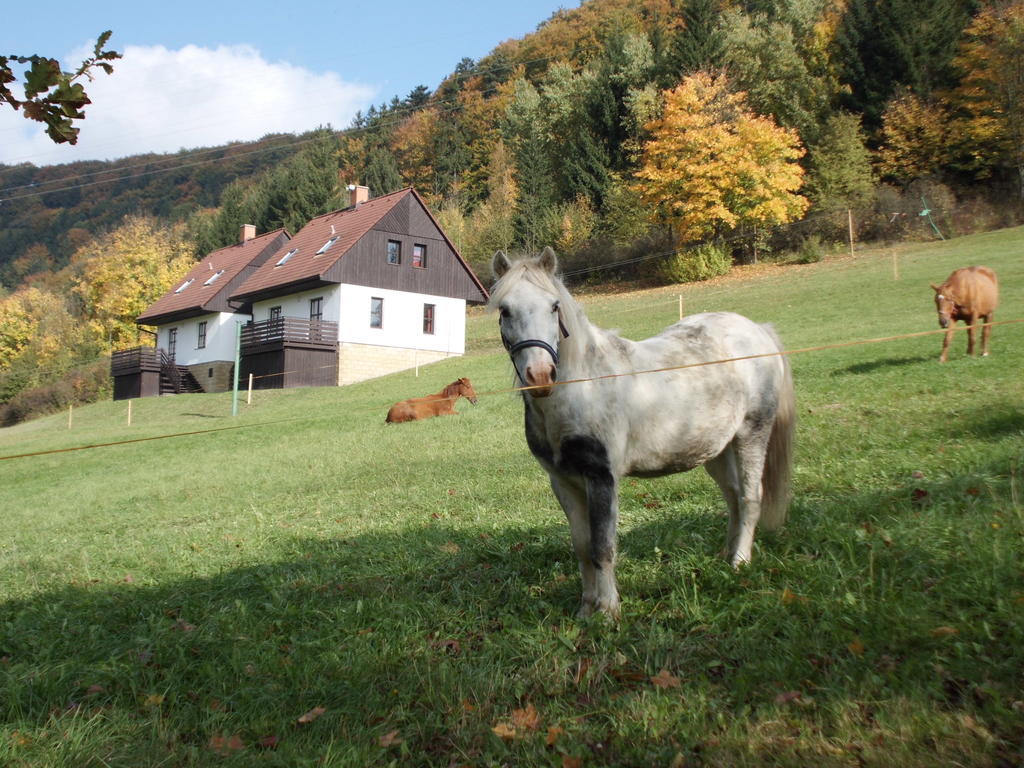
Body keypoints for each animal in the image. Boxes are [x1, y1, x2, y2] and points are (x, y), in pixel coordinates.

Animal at [491, 247, 794, 618]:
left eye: (554, 306)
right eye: (505, 310)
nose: (540, 375)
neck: (584, 386)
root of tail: (758, 330)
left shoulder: (601, 477)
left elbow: (602, 546)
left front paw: (608, 611)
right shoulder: (563, 482)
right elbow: (581, 546)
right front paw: (586, 609)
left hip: (753, 433)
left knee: (750, 497)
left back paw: (739, 563)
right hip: (717, 449)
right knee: (734, 496)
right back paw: (725, 556)